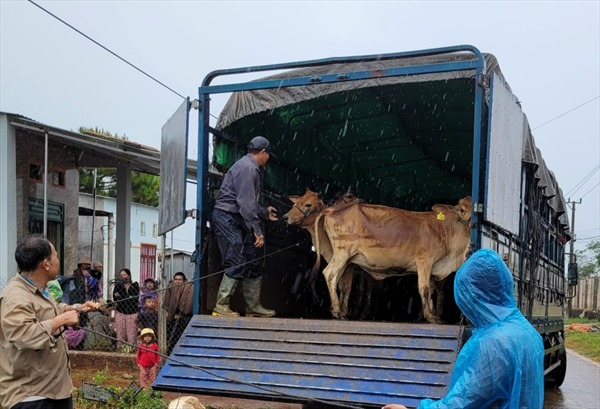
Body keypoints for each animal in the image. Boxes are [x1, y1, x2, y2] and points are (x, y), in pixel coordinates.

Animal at [284, 190, 472, 324]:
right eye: (461, 210)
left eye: (308, 204)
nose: (286, 217)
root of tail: (333, 210)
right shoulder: (424, 261)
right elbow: (424, 289)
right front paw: (431, 317)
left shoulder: (434, 267)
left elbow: (431, 291)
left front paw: (433, 315)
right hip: (343, 253)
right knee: (329, 274)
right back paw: (337, 310)